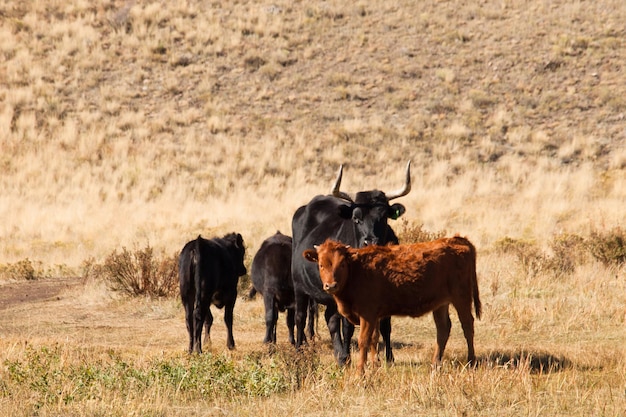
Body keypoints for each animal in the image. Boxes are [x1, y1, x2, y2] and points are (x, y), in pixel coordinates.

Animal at [292, 161, 410, 366]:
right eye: (356, 218)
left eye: (383, 217)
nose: (370, 241)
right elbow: (348, 327)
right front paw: (348, 357)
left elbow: (385, 324)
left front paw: (388, 358)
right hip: (299, 286)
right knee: (301, 317)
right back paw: (303, 352)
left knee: (330, 319)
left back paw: (339, 355)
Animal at [304, 236, 480, 372]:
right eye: (321, 264)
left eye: (341, 264)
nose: (331, 285)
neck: (358, 270)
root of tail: (458, 240)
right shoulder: (374, 315)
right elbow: (374, 339)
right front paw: (375, 366)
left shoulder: (367, 314)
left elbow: (363, 341)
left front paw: (360, 372)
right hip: (440, 304)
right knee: (443, 329)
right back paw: (435, 365)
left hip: (461, 297)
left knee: (467, 326)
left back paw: (471, 362)